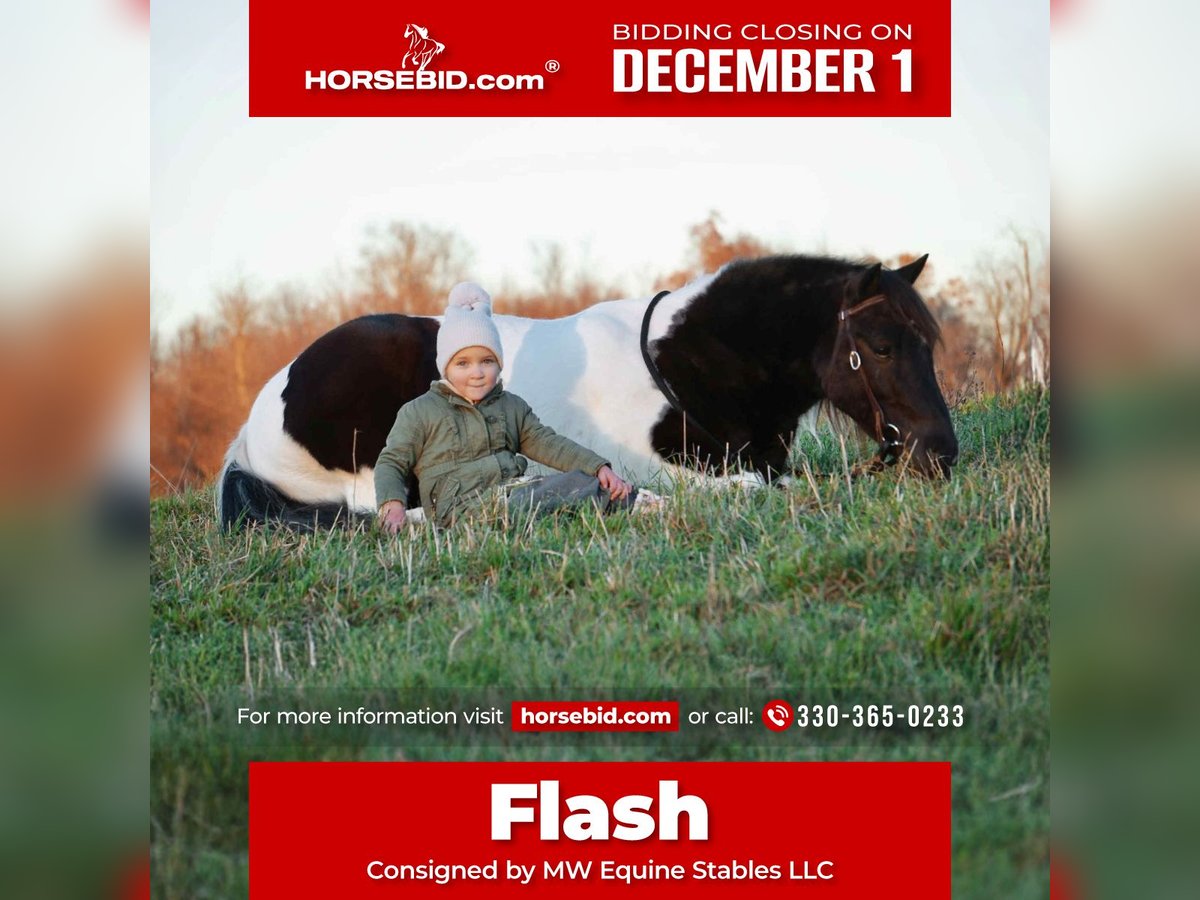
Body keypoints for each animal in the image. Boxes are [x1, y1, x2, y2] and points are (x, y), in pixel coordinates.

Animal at [216, 254, 958, 529]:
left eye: (928, 342)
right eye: (882, 347)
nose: (940, 453)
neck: (680, 364)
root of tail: (253, 427)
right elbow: (749, 488)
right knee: (392, 510)